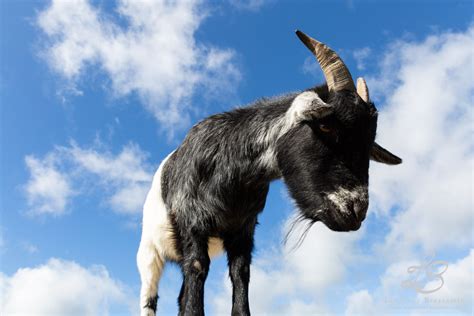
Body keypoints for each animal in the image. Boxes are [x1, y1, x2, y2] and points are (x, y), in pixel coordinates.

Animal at [136, 30, 400, 316]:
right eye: (326, 126)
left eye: (369, 143)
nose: (355, 210)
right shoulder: (192, 223)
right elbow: (197, 270)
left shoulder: (244, 229)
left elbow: (240, 273)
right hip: (149, 253)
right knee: (149, 298)